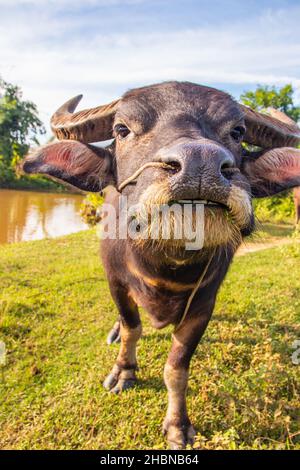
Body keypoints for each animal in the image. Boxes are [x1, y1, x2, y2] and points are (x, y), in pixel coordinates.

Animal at [23, 81, 300, 448]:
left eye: (237, 131)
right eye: (122, 129)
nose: (201, 162)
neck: (167, 267)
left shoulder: (204, 303)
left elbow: (177, 367)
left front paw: (178, 424)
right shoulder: (115, 281)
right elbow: (132, 328)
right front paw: (123, 371)